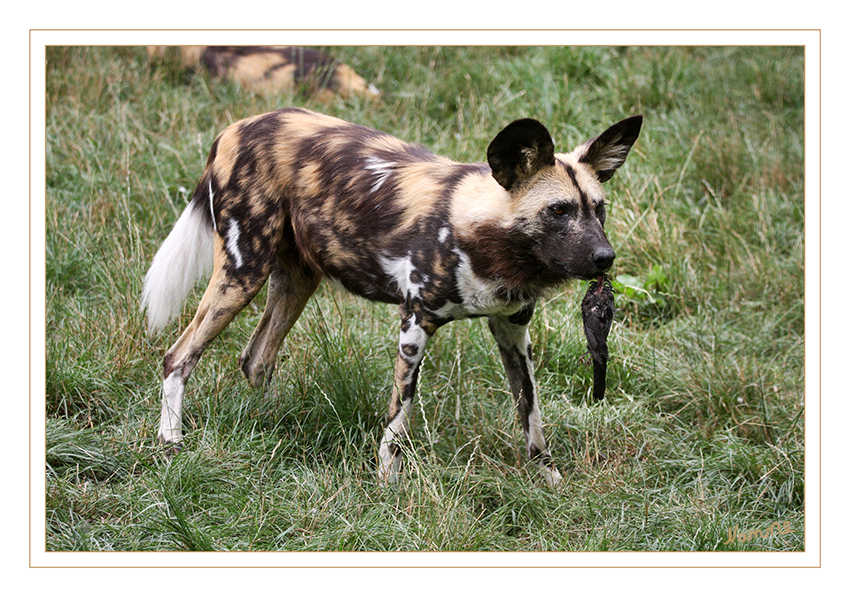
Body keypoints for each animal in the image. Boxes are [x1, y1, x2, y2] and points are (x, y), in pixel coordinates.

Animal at [142, 108, 640, 484]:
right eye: (558, 211)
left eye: (599, 209)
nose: (605, 257)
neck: (485, 237)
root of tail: (236, 128)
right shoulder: (415, 324)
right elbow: (400, 415)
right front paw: (388, 484)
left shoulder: (513, 330)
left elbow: (531, 415)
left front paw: (549, 480)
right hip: (243, 272)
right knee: (177, 357)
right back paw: (171, 443)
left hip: (296, 279)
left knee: (256, 358)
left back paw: (274, 424)